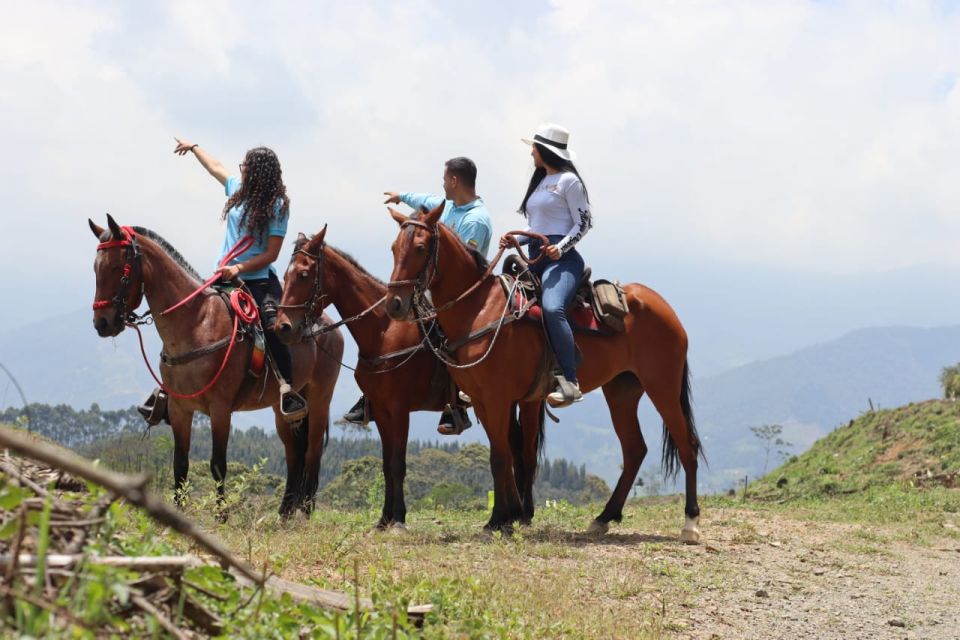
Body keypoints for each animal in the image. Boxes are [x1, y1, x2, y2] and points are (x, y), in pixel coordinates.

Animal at [86, 215, 342, 516]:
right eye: (96, 268)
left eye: (118, 268)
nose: (102, 323)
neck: (196, 323)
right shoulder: (180, 409)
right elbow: (180, 464)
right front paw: (178, 512)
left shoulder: (221, 409)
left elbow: (218, 465)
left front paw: (221, 516)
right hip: (284, 411)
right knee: (294, 454)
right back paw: (284, 515)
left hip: (319, 399)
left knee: (312, 453)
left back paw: (305, 513)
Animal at [274, 226, 544, 528]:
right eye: (284, 276)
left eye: (304, 274)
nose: (283, 328)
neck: (384, 331)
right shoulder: (382, 409)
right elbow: (386, 464)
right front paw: (384, 519)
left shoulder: (400, 408)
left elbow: (397, 464)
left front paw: (398, 519)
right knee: (512, 448)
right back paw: (515, 512)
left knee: (523, 451)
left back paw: (522, 513)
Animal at [384, 205, 704, 540]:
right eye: (394, 248)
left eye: (420, 248)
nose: (395, 305)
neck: (480, 309)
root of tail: (665, 308)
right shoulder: (484, 401)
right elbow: (507, 454)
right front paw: (506, 518)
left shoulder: (498, 399)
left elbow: (501, 457)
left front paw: (499, 519)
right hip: (622, 391)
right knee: (634, 449)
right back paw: (604, 517)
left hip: (662, 385)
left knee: (687, 445)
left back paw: (690, 523)